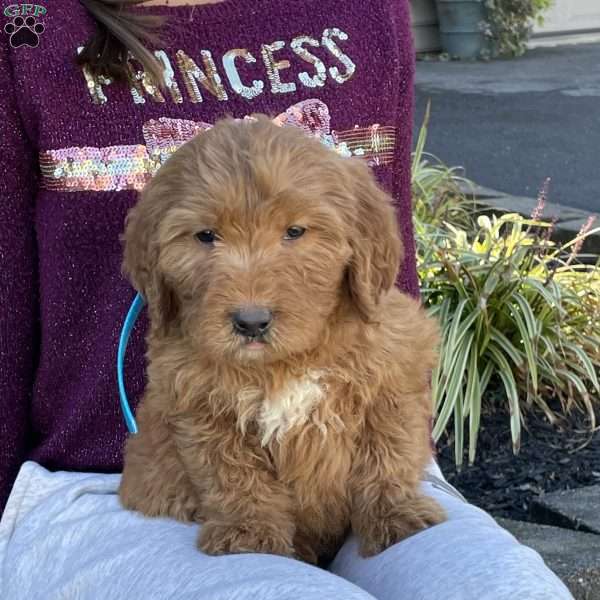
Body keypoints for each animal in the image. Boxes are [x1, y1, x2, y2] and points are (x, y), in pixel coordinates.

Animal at [118, 115, 446, 564]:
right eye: (205, 236)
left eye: (294, 231)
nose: (251, 322)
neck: (285, 363)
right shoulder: (200, 406)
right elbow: (234, 474)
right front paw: (248, 531)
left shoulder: (391, 376)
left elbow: (387, 454)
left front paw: (396, 514)